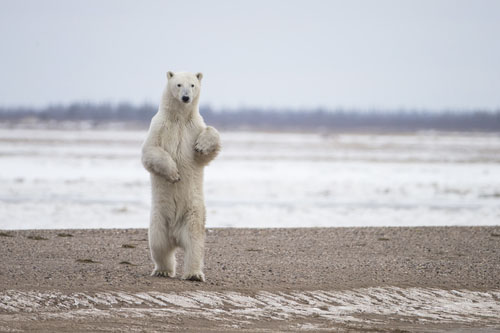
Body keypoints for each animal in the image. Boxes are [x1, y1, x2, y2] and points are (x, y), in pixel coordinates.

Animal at [140, 70, 220, 280]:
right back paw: (163, 270)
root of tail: (176, 236)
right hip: (158, 218)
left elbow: (207, 147)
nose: (186, 97)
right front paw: (174, 173)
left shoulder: (194, 127)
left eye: (192, 85)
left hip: (192, 213)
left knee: (195, 244)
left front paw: (202, 146)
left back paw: (193, 274)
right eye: (178, 84)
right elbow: (150, 151)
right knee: (159, 244)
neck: (179, 119)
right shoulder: (159, 126)